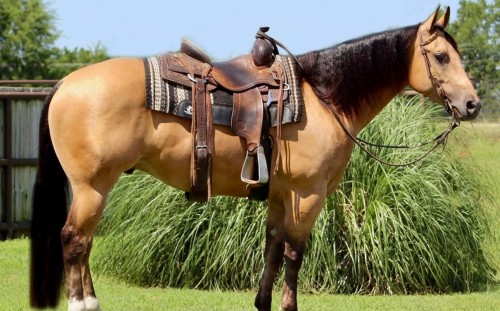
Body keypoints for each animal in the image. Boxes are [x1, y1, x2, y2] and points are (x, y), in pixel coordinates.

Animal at [29, 7, 478, 311]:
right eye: (442, 57)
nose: (472, 104)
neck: (323, 98)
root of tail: (65, 83)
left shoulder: (279, 196)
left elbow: (272, 249)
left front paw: (262, 302)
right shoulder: (306, 195)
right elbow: (294, 254)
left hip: (96, 188)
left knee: (85, 243)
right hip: (92, 185)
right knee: (74, 240)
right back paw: (81, 304)